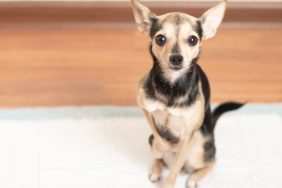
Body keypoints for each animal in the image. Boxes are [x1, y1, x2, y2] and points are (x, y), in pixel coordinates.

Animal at [131, 0, 243, 187]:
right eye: (160, 39)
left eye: (192, 40)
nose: (176, 58)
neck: (172, 85)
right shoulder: (144, 107)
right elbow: (160, 140)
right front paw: (164, 147)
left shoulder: (188, 135)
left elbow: (174, 171)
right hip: (152, 139)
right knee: (157, 149)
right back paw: (156, 168)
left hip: (198, 148)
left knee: (212, 161)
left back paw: (194, 178)